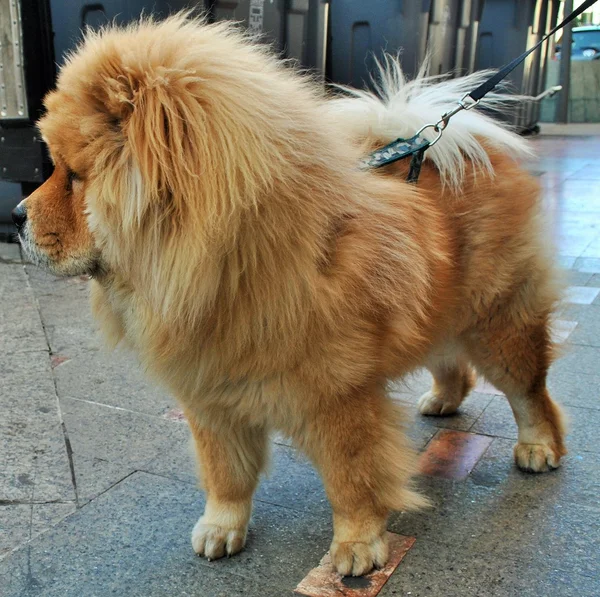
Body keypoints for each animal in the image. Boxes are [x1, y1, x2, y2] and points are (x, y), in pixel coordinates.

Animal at [15, 15, 568, 576]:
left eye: (73, 177)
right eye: (55, 168)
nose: (15, 216)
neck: (232, 268)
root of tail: (469, 149)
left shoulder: (339, 396)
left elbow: (352, 479)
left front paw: (356, 547)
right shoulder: (210, 395)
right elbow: (226, 473)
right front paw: (221, 529)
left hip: (498, 323)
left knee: (530, 391)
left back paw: (538, 448)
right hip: (440, 312)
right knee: (451, 362)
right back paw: (441, 401)